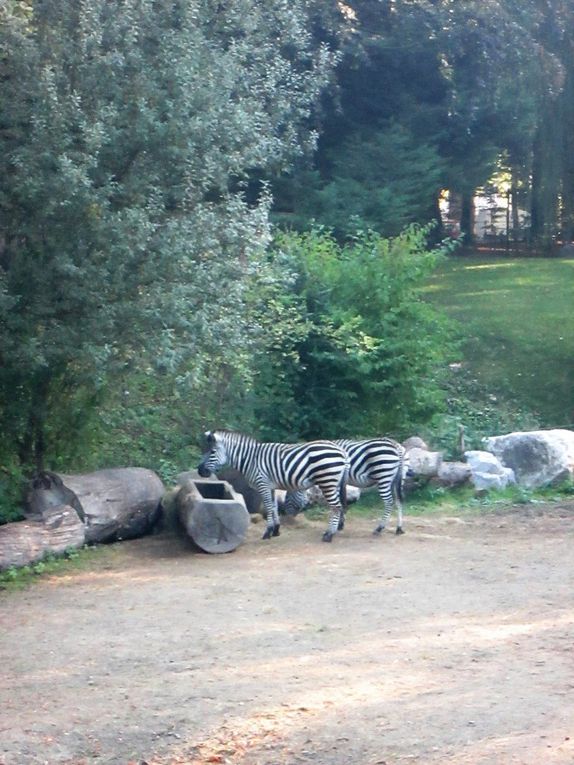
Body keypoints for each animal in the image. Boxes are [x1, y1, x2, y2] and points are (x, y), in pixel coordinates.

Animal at [198, 430, 352, 544]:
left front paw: (267, 532)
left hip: (327, 481)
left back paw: (329, 535)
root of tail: (342, 451)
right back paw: (331, 531)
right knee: (338, 506)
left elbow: (268, 507)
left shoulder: (262, 484)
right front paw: (276, 530)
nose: (200, 471)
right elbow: (273, 507)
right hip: (334, 482)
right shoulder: (270, 486)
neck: (251, 459)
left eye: (212, 451)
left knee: (336, 507)